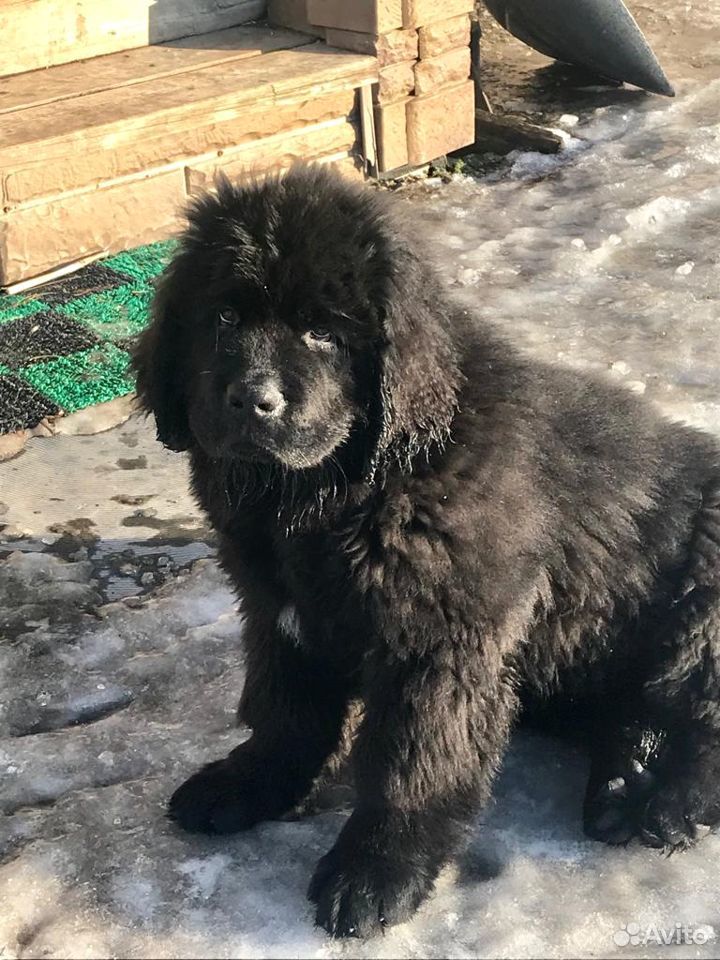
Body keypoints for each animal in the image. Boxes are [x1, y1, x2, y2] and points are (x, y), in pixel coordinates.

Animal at [132, 163, 716, 936]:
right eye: (223, 319)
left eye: (323, 333)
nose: (252, 400)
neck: (340, 490)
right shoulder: (279, 616)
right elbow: (283, 715)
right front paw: (245, 784)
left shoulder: (438, 641)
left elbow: (414, 762)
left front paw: (375, 873)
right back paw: (624, 782)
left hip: (702, 602)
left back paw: (670, 803)